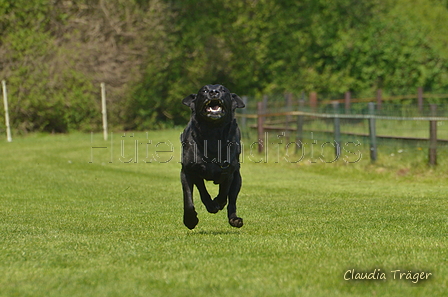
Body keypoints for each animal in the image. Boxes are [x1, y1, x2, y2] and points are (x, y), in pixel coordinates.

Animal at [180, 84, 247, 229]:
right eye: (204, 90)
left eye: (223, 90)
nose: (213, 92)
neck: (212, 131)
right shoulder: (188, 171)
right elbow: (189, 198)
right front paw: (190, 220)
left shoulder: (228, 171)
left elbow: (224, 193)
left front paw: (217, 203)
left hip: (238, 178)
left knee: (232, 201)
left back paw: (234, 219)